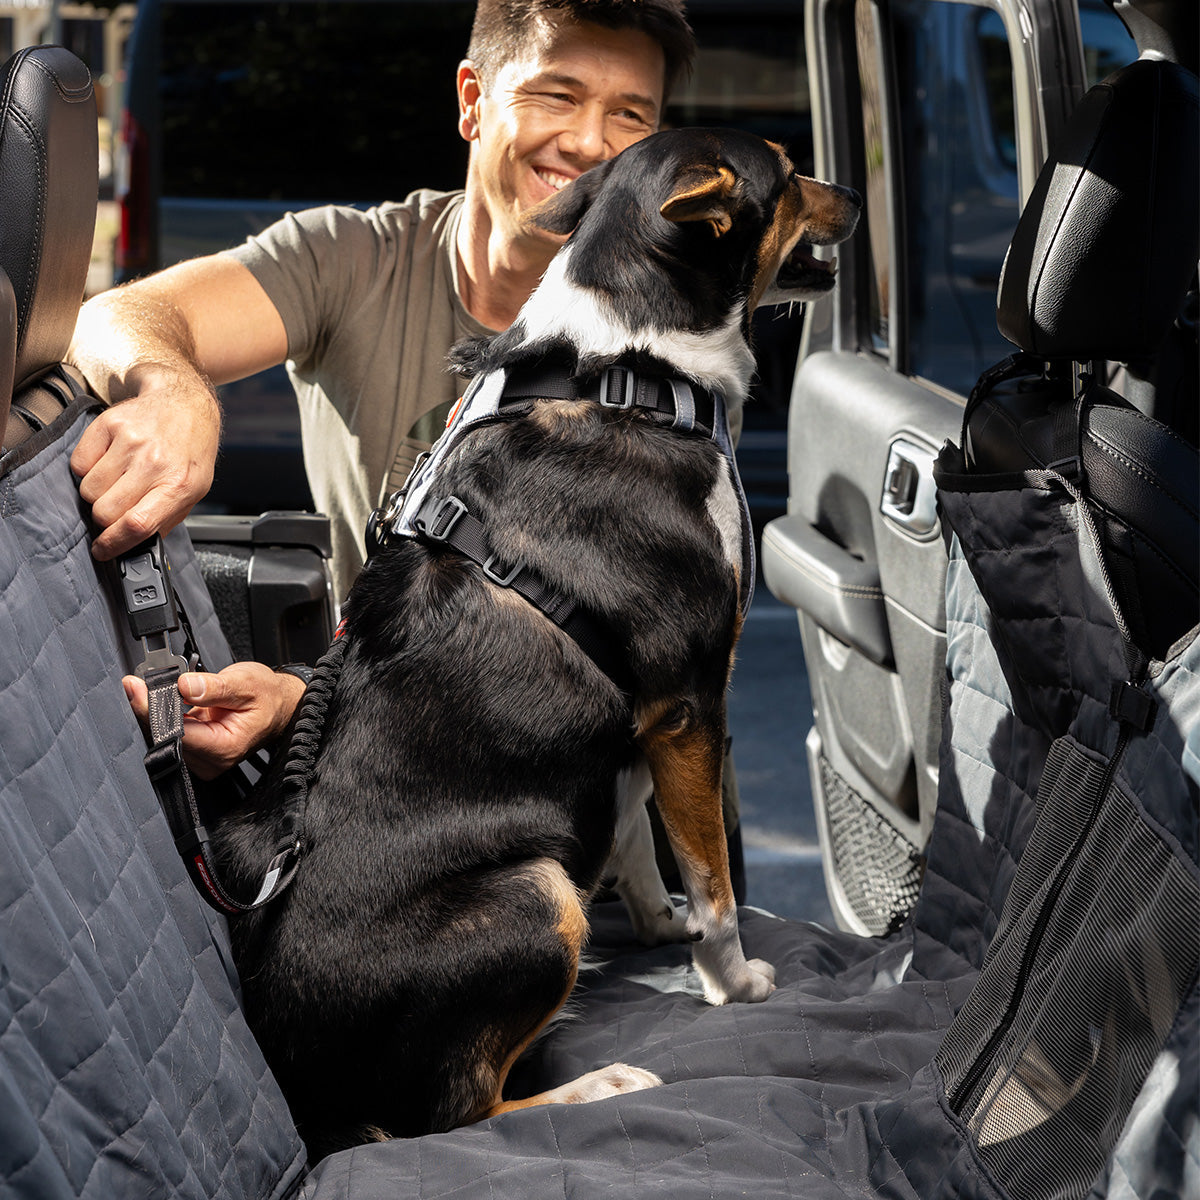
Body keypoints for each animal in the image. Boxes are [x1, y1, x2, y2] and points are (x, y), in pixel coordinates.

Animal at [211, 126, 859, 1156]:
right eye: (790, 174)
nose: (853, 198)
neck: (631, 368)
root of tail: (318, 1105)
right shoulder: (689, 706)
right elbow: (713, 882)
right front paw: (731, 980)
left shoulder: (635, 732)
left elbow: (637, 839)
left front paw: (659, 926)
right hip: (536, 893)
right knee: (455, 1113)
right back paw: (598, 1087)